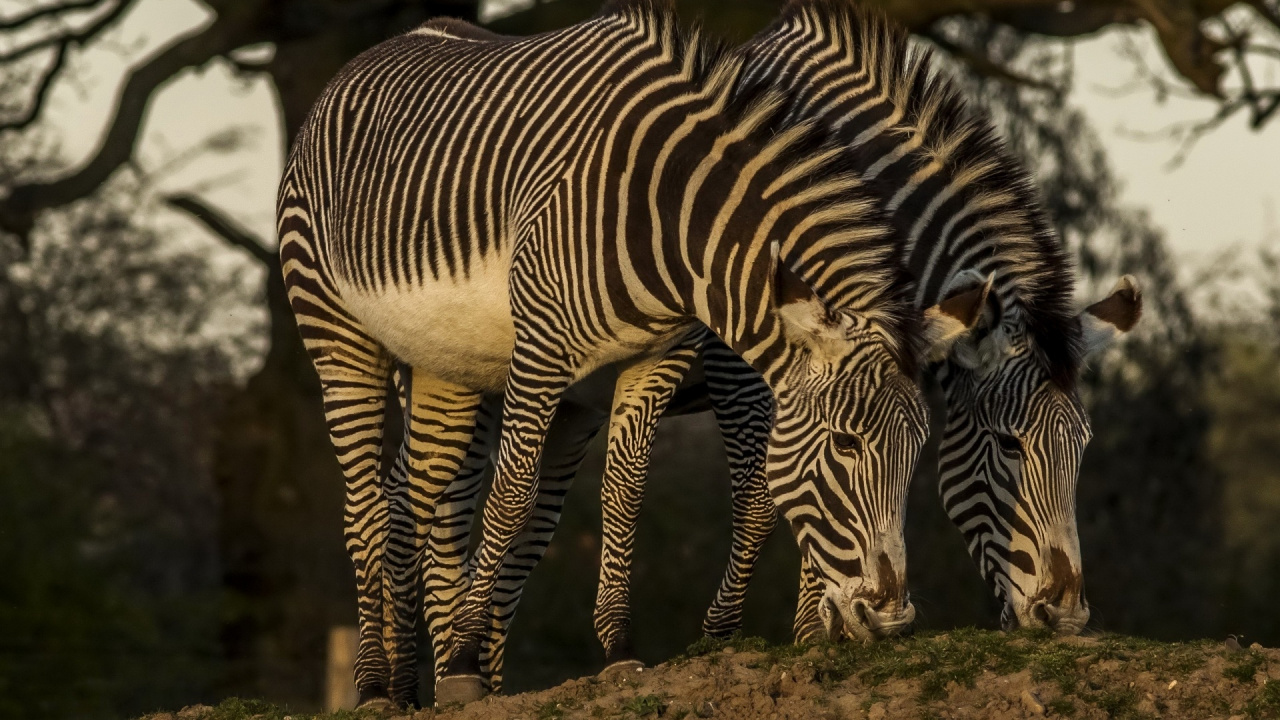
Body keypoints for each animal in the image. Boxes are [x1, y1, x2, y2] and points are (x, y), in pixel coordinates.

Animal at [275, 0, 977, 702]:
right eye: (846, 444)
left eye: (918, 448)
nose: (891, 620)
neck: (672, 224)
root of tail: (367, 60)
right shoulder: (547, 348)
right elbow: (512, 497)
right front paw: (468, 655)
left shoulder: (657, 355)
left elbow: (624, 492)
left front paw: (616, 648)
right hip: (340, 339)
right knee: (367, 509)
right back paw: (376, 684)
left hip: (446, 369)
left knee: (408, 503)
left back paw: (404, 687)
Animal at [391, 0, 1152, 696]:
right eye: (1007, 445)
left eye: (1081, 447)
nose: (1065, 619)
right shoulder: (747, 366)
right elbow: (767, 495)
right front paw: (732, 636)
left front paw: (823, 629)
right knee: (424, 493)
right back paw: (412, 681)